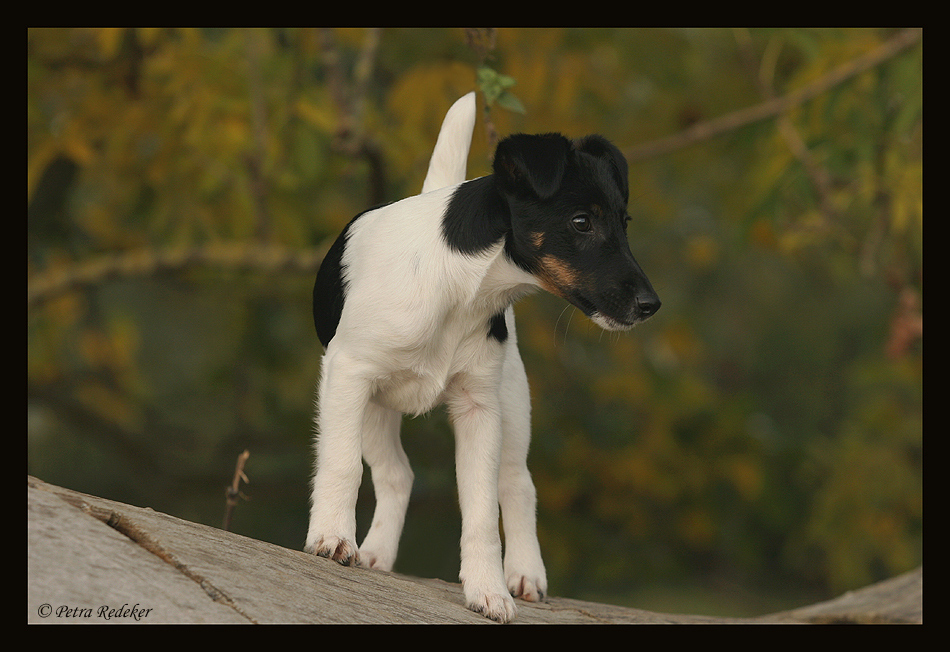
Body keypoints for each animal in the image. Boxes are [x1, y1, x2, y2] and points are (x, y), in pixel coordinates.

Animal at [306, 93, 660, 620]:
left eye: (625, 223)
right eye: (582, 221)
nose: (651, 305)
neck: (459, 286)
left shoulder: (480, 409)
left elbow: (481, 510)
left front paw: (487, 589)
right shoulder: (349, 375)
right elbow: (342, 463)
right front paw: (331, 536)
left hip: (510, 402)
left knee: (515, 483)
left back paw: (525, 573)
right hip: (372, 407)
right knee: (395, 473)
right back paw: (375, 552)